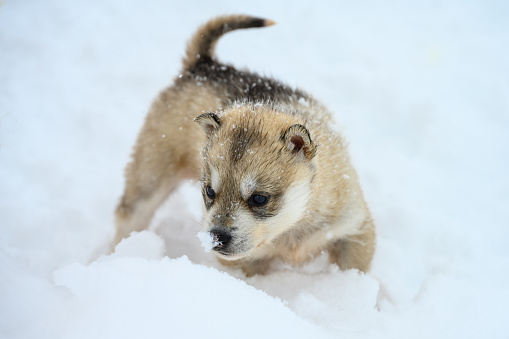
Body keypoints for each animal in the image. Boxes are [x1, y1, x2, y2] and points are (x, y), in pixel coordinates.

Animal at [114, 14, 374, 278]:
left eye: (259, 198)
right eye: (210, 191)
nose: (216, 238)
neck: (292, 227)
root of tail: (206, 65)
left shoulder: (354, 228)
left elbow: (355, 269)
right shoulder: (245, 263)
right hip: (150, 173)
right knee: (127, 214)